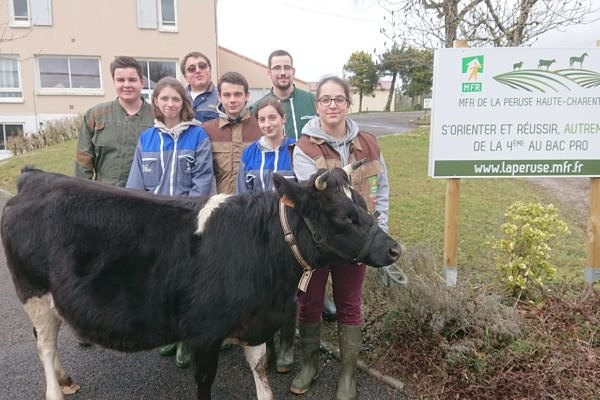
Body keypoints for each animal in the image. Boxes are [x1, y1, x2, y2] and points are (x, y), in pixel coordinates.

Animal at [2, 166, 404, 400]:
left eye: (364, 205)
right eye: (345, 215)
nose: (394, 249)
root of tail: (36, 178)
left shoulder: (254, 322)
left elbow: (260, 370)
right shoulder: (204, 333)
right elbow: (205, 381)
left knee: (47, 340)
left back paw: (65, 378)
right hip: (33, 292)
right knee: (45, 346)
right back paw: (55, 390)